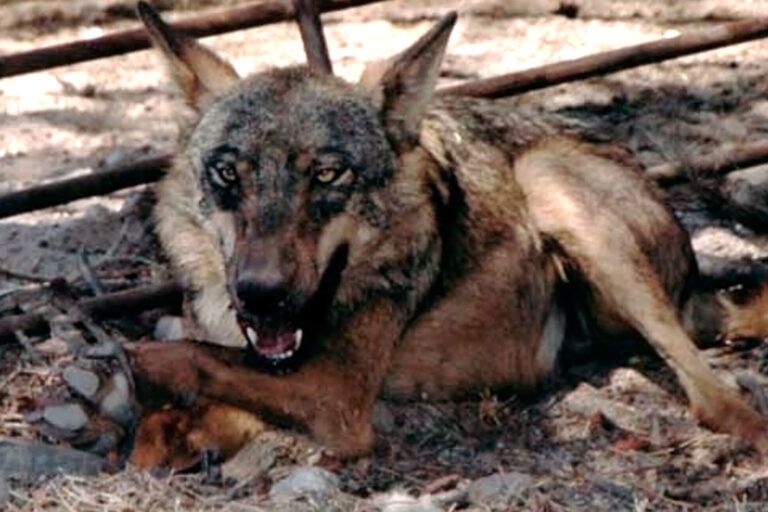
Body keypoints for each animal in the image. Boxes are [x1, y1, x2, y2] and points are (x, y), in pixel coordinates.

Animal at [128, 1, 768, 460]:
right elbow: (191, 394)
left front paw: (145, 377)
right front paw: (170, 430)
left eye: (329, 174)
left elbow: (170, 353)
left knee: (720, 402)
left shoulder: (336, 395)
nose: (262, 296)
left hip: (546, 176)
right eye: (228, 172)